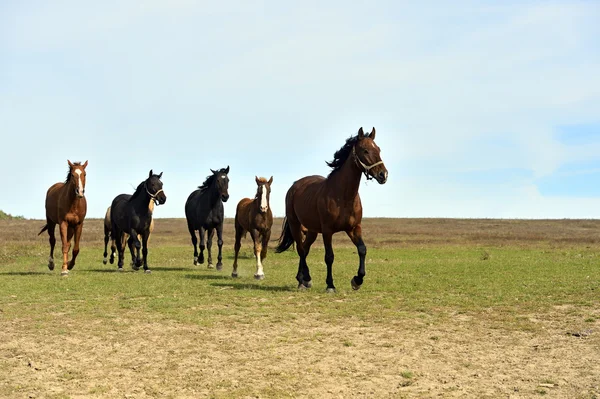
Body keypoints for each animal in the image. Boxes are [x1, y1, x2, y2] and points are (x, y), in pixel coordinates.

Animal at [276, 129, 390, 294]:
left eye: (379, 149)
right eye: (365, 150)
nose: (383, 175)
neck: (343, 196)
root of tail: (294, 186)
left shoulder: (353, 228)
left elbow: (362, 249)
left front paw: (357, 280)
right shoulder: (327, 231)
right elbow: (329, 257)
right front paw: (330, 285)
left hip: (312, 230)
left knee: (305, 248)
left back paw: (301, 280)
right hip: (295, 224)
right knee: (301, 249)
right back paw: (307, 279)